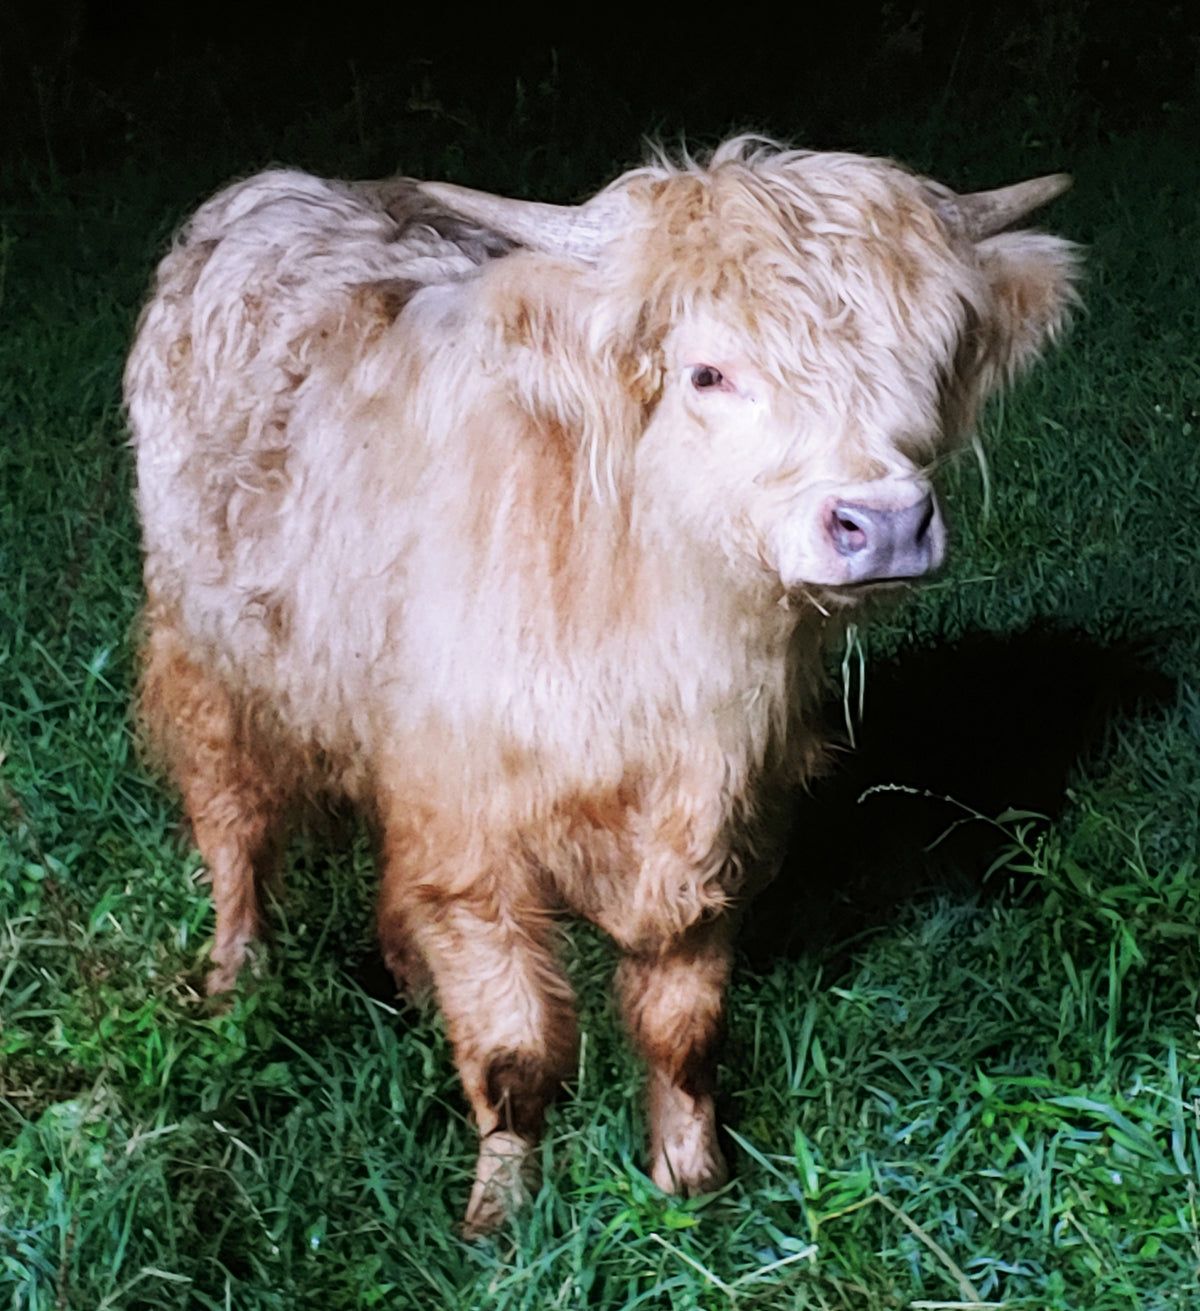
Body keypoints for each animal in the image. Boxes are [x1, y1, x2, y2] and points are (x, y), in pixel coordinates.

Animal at [125, 137, 1078, 1234]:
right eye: (708, 371)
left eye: (930, 357)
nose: (881, 523)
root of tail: (274, 189)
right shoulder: (472, 830)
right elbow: (514, 1050)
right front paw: (500, 1214)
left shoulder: (715, 825)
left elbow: (683, 1029)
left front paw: (693, 1184)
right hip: (204, 651)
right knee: (231, 816)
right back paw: (234, 977)